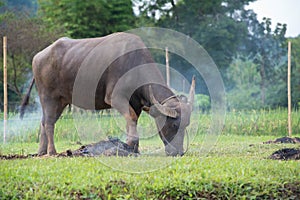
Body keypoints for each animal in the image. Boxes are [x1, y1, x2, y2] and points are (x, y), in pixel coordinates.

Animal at [20, 32, 195, 155]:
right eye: (174, 124)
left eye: (186, 124)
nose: (178, 152)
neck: (134, 63)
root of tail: (38, 57)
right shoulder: (115, 98)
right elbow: (131, 117)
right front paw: (131, 144)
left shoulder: (135, 103)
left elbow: (131, 119)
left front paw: (134, 148)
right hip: (48, 97)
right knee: (49, 122)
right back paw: (52, 151)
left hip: (61, 100)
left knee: (44, 121)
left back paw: (41, 151)